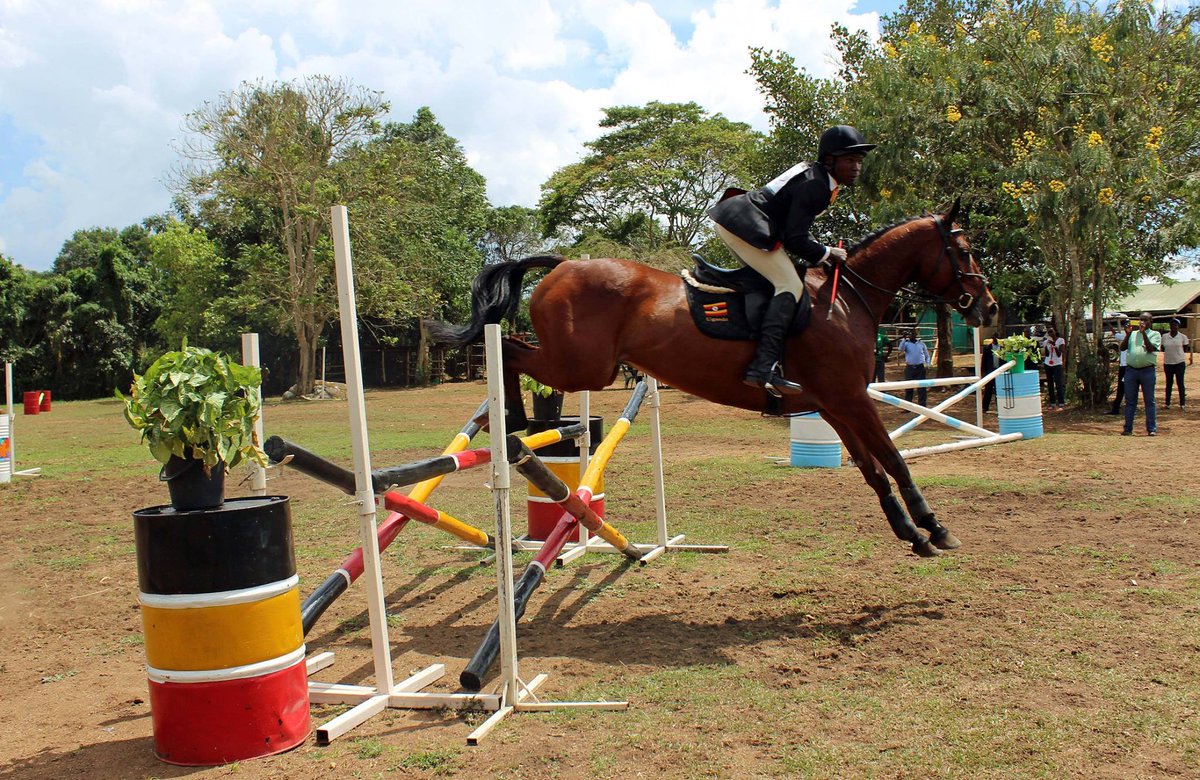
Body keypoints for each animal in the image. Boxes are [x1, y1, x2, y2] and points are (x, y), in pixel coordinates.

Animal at [428, 200, 999, 557]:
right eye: (964, 251)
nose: (989, 307)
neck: (846, 298)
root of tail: (565, 263)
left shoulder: (837, 404)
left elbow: (874, 470)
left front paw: (912, 532)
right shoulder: (852, 398)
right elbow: (895, 461)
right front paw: (935, 527)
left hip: (587, 366)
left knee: (515, 353)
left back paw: (512, 424)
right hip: (581, 366)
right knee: (512, 352)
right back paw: (512, 420)